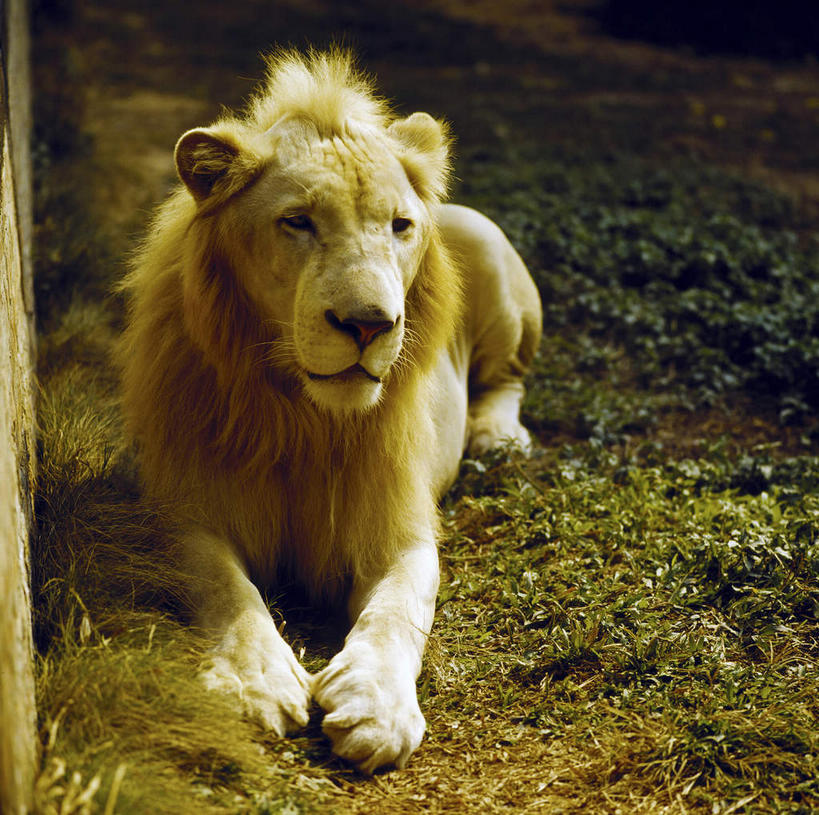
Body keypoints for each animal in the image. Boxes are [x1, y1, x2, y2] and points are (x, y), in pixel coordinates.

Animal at [115, 47, 540, 776]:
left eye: (399, 226)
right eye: (298, 222)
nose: (368, 324)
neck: (300, 416)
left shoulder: (398, 529)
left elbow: (397, 612)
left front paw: (377, 708)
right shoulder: (184, 508)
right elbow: (226, 589)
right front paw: (255, 680)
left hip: (487, 248)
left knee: (507, 377)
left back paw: (498, 435)